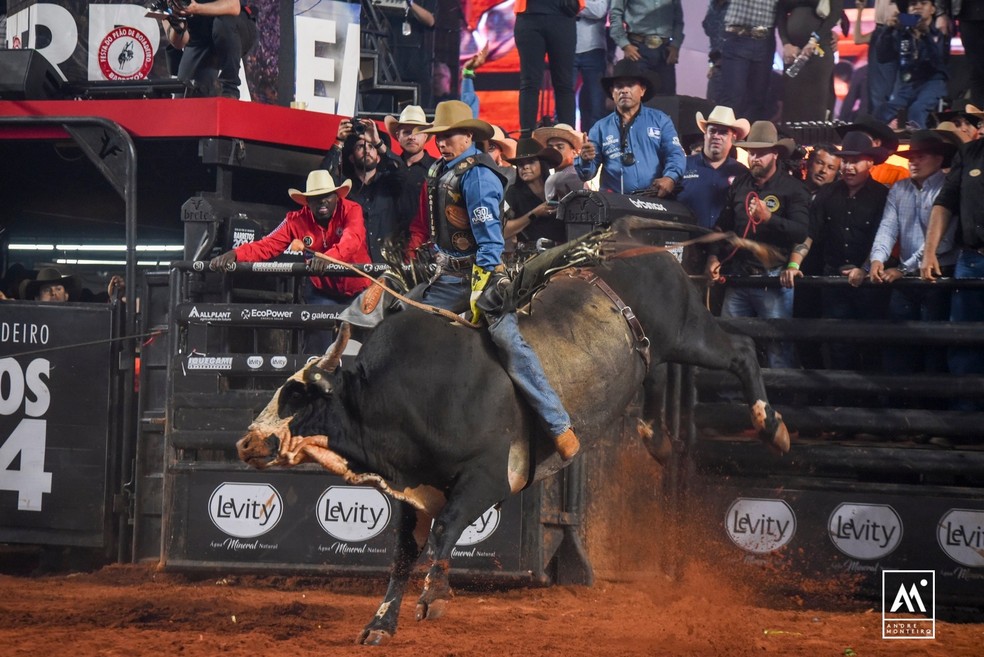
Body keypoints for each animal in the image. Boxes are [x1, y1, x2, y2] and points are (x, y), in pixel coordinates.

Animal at [236, 218, 792, 644]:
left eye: (298, 395)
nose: (246, 442)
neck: (406, 394)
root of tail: (628, 235)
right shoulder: (417, 490)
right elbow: (404, 554)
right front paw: (381, 624)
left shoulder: (489, 477)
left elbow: (446, 531)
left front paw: (434, 597)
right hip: (658, 348)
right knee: (657, 376)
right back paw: (656, 437)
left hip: (687, 330)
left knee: (741, 352)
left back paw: (773, 427)